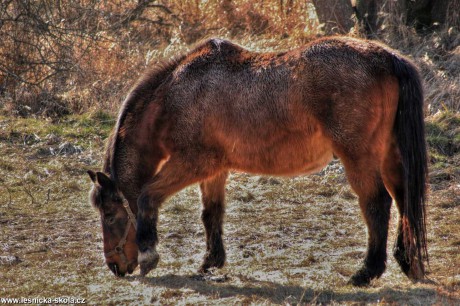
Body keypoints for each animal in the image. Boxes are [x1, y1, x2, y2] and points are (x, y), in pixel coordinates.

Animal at [89, 36, 428, 286]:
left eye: (109, 214)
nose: (114, 266)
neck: (178, 94)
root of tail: (386, 57)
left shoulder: (192, 163)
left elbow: (147, 197)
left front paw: (149, 253)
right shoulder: (214, 171)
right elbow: (211, 213)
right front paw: (211, 261)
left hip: (358, 157)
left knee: (377, 204)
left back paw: (366, 272)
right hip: (389, 156)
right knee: (403, 200)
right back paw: (407, 262)